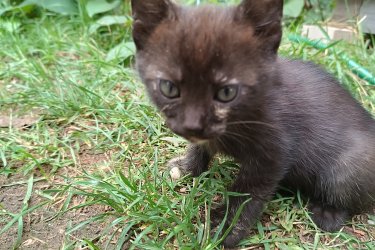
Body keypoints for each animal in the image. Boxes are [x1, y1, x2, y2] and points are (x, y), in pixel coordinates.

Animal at [131, 0, 374, 247]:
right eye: (168, 87)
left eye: (227, 92)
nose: (192, 126)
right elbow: (200, 147)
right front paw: (186, 167)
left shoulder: (273, 154)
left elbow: (248, 192)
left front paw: (227, 226)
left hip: (347, 166)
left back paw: (328, 213)